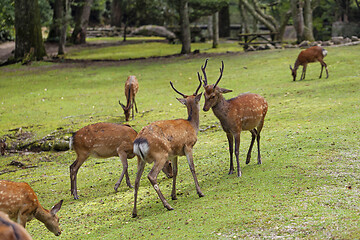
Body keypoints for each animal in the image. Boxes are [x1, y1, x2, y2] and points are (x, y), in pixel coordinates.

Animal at [131, 78, 205, 218]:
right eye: (198, 100)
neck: (192, 126)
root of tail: (138, 141)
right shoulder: (188, 146)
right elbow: (192, 168)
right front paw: (200, 192)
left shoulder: (174, 154)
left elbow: (175, 171)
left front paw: (174, 195)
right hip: (160, 155)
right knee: (151, 176)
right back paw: (167, 205)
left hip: (140, 159)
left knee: (137, 181)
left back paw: (134, 212)